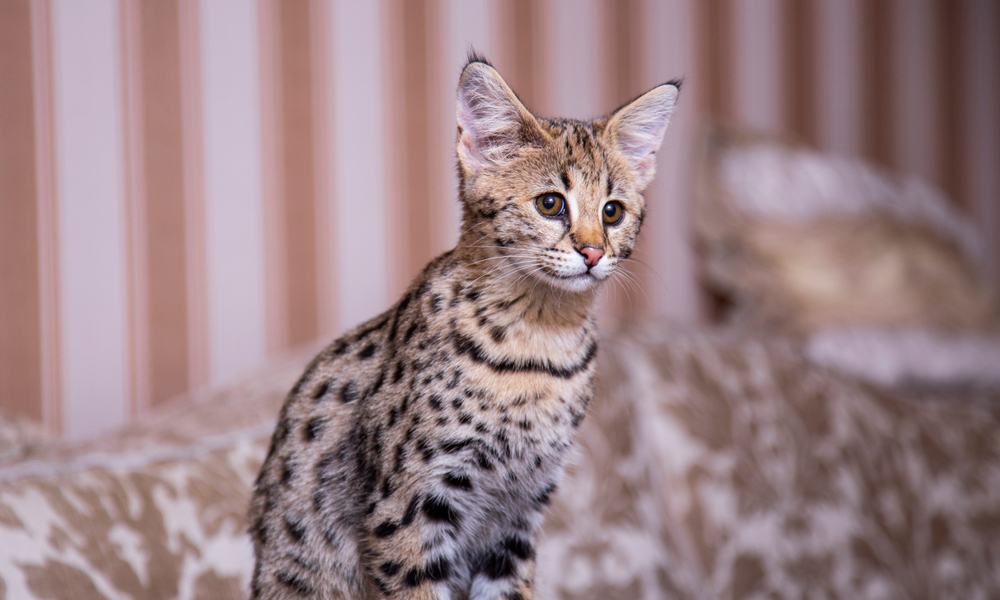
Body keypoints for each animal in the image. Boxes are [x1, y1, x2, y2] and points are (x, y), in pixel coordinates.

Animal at [250, 54, 680, 596]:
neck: (542, 337)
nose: (592, 252)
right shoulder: (408, 509)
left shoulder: (519, 515)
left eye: (612, 211)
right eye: (550, 204)